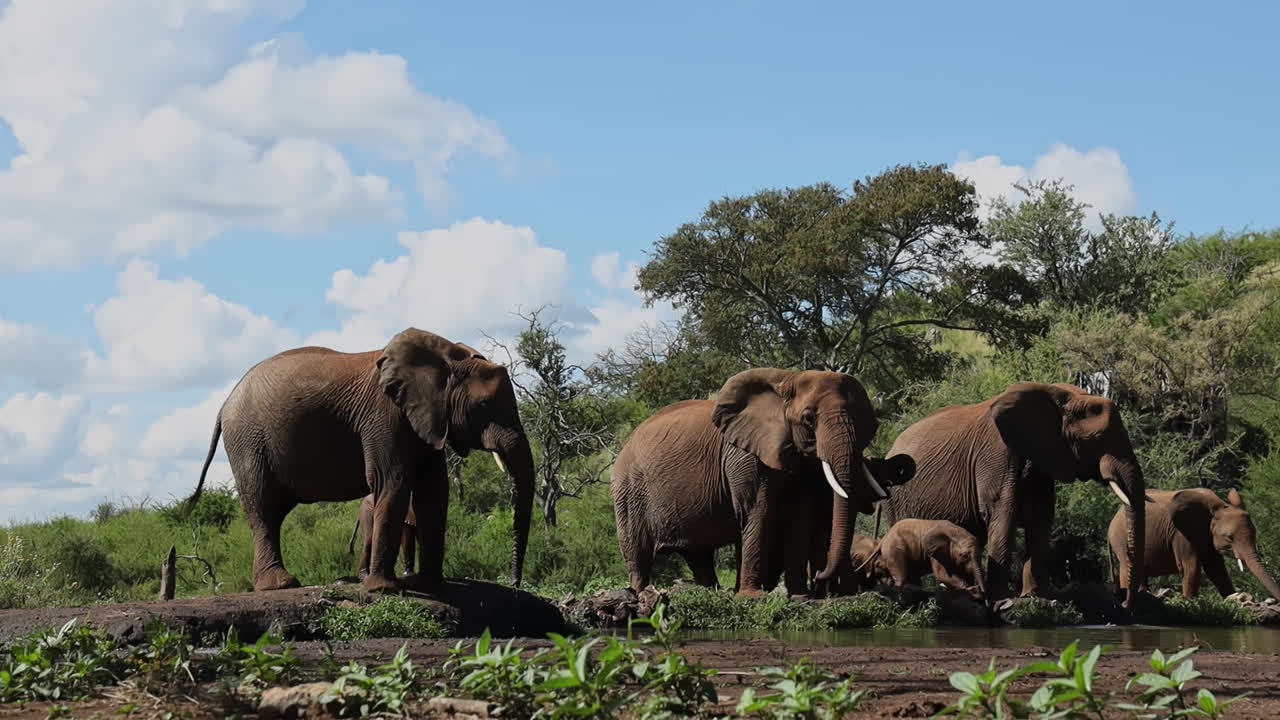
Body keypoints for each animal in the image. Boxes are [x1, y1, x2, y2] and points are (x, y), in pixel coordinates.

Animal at [185, 328, 535, 594]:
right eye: (484, 405)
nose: (514, 584)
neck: (447, 357)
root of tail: (223, 405)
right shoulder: (383, 416)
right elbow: (393, 483)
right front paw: (384, 589)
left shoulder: (424, 419)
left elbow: (434, 491)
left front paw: (430, 585)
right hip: (248, 441)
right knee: (262, 505)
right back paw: (281, 585)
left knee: (274, 510)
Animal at [610, 367, 911, 597]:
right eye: (808, 419)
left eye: (862, 423)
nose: (820, 576)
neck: (787, 381)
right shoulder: (742, 454)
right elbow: (757, 508)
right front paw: (753, 597)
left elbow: (800, 515)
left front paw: (799, 596)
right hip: (628, 491)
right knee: (638, 554)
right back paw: (638, 594)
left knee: (699, 557)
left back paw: (712, 592)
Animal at [853, 519, 986, 600]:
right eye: (965, 555)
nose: (985, 596)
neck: (955, 532)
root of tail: (883, 539)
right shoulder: (934, 551)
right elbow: (942, 574)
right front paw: (975, 592)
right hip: (894, 551)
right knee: (901, 574)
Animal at [878, 381, 1150, 608]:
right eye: (1097, 439)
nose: (1125, 604)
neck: (1059, 394)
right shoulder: (996, 454)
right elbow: (1003, 515)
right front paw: (1001, 599)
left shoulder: (1042, 459)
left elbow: (1041, 519)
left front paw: (1036, 596)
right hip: (896, 497)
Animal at [1108, 488, 1280, 601]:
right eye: (1229, 537)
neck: (1217, 506)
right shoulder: (1181, 533)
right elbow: (1191, 567)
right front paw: (1190, 602)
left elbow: (1216, 569)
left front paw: (1232, 597)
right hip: (1121, 539)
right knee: (1129, 569)